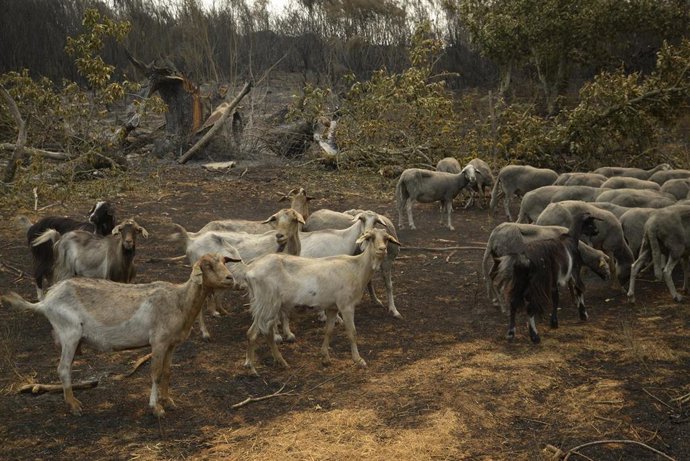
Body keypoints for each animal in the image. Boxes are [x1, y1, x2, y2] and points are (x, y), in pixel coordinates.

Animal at [1, 252, 239, 416]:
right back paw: (74, 406)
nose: (230, 278)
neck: (179, 301)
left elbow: (168, 372)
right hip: (69, 332)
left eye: (224, 261)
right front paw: (156, 408)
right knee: (63, 368)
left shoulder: (172, 344)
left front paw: (168, 401)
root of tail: (45, 302)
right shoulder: (158, 342)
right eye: (207, 266)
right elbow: (155, 373)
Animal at [228, 228, 400, 375]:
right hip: (267, 303)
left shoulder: (332, 307)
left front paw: (325, 357)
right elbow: (352, 332)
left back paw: (277, 362)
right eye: (371, 238)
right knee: (254, 333)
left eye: (386, 239)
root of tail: (249, 270)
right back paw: (253, 368)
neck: (357, 268)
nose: (382, 249)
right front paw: (358, 360)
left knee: (265, 333)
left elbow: (329, 330)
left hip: (265, 304)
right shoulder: (346, 305)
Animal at [490, 213, 597, 343]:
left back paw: (511, 333)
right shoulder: (573, 271)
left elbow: (556, 297)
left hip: (521, 280)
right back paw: (534, 336)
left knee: (513, 302)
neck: (571, 239)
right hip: (535, 283)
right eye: (590, 223)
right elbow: (577, 290)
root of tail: (523, 257)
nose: (596, 231)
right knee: (530, 307)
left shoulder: (554, 280)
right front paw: (581, 314)